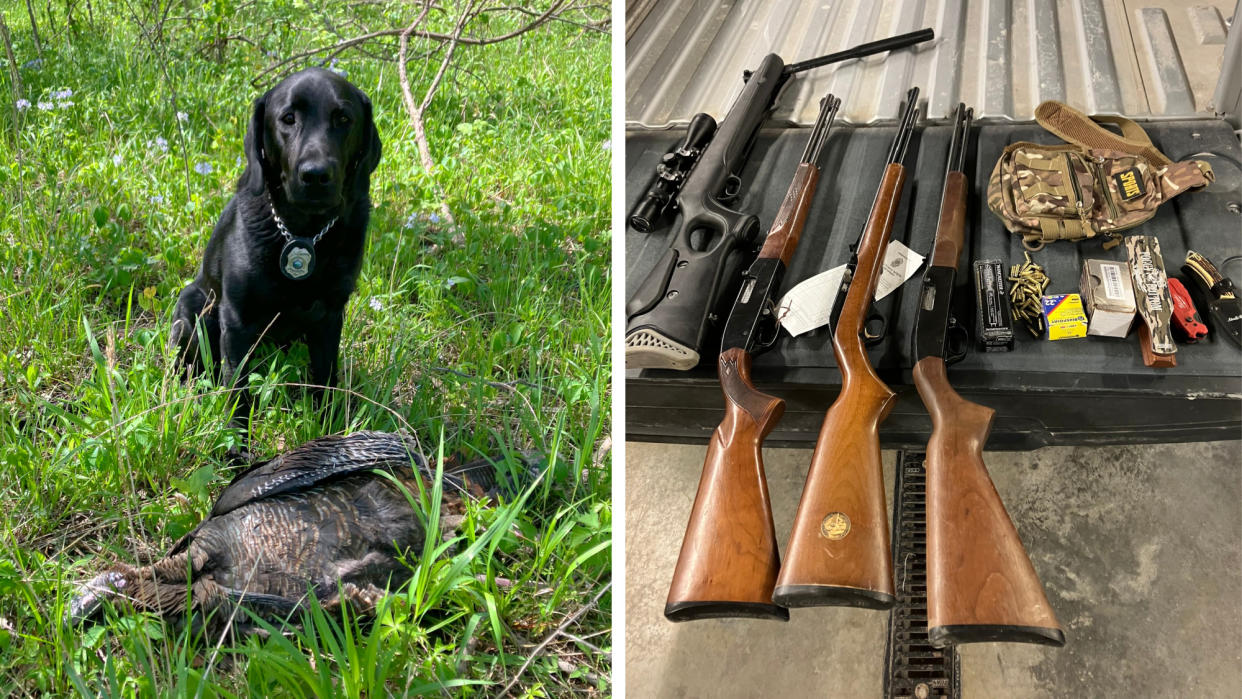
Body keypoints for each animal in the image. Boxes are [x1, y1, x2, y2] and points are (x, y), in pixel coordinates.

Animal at [170, 68, 380, 419]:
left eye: (343, 118)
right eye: (288, 118)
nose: (315, 175)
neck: (303, 234)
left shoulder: (329, 316)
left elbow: (326, 380)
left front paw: (327, 426)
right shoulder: (237, 321)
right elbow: (237, 391)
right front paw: (236, 434)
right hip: (191, 312)